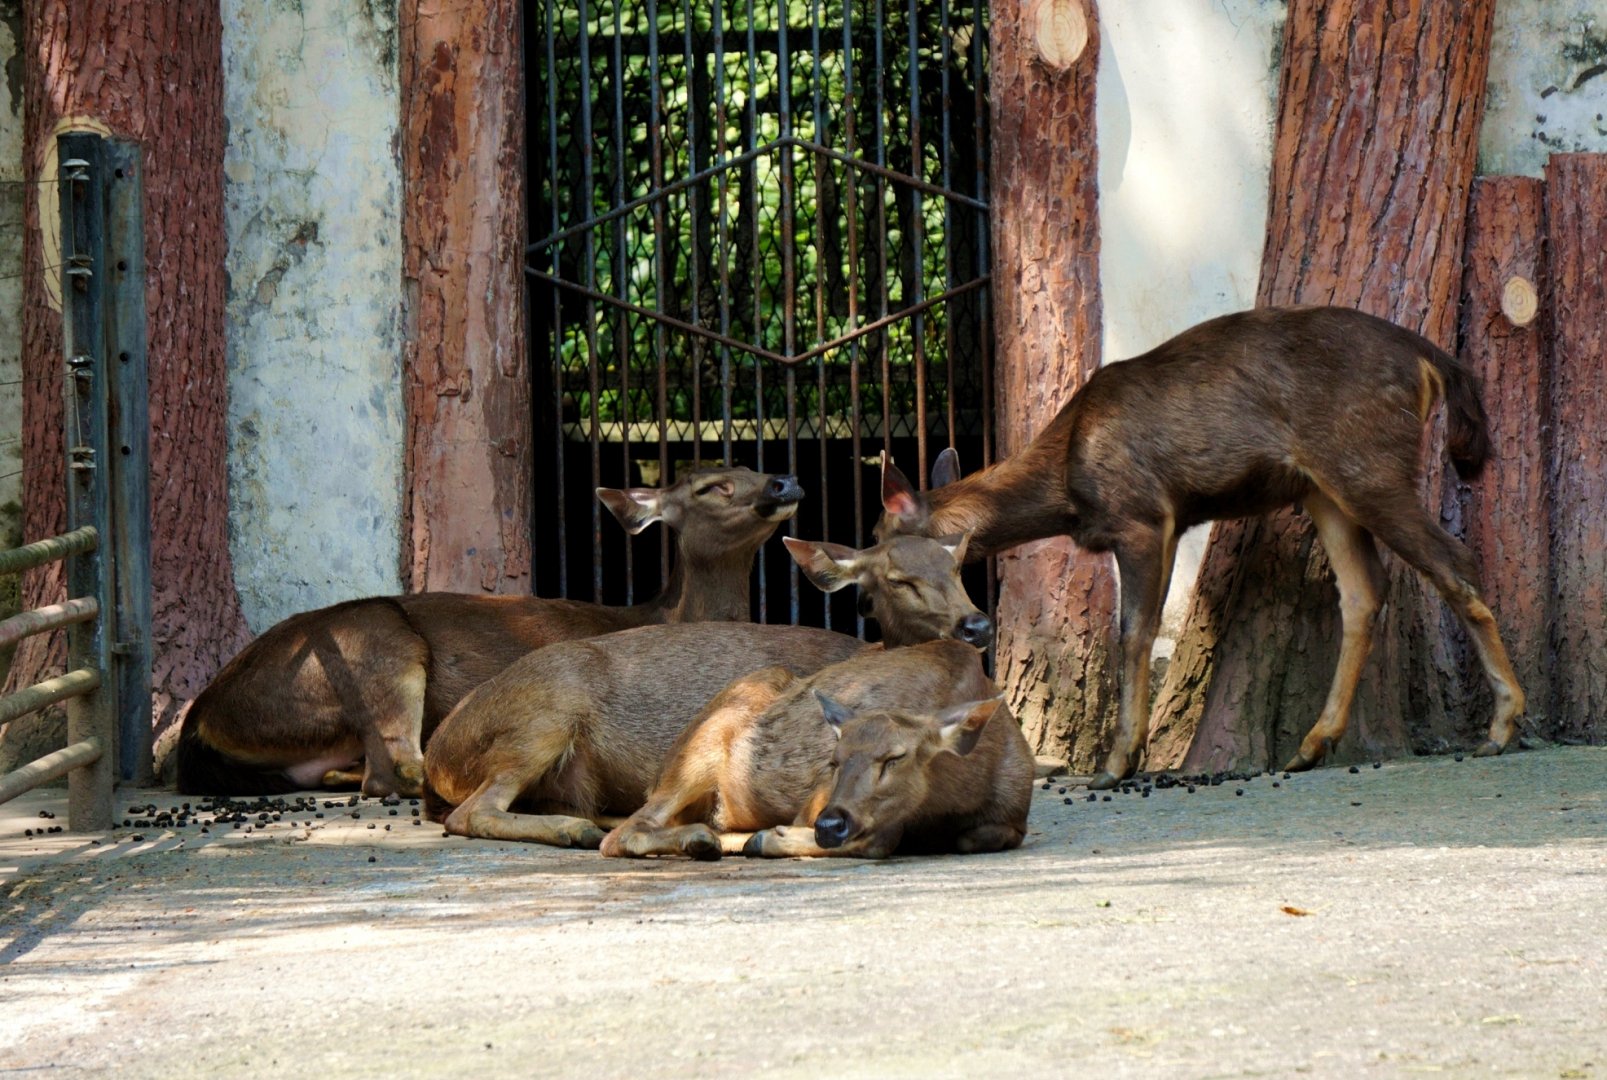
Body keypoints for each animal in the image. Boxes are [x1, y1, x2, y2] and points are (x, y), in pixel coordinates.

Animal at [173, 466, 804, 798]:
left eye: (752, 467)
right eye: (711, 485)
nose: (784, 481)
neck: (658, 614)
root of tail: (201, 714)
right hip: (376, 644)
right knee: (398, 764)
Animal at [422, 533, 995, 847]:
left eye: (957, 567)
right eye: (897, 579)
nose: (977, 625)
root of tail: (438, 754)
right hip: (543, 716)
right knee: (470, 812)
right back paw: (575, 831)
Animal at [873, 305, 1526, 790]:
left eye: (880, 554)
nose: (874, 622)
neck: (1066, 483)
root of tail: (1432, 362)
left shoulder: (1142, 516)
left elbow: (1133, 632)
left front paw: (1117, 763)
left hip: (1369, 463)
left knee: (1453, 561)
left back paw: (1501, 725)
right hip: (1323, 487)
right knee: (1365, 590)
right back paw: (1313, 744)